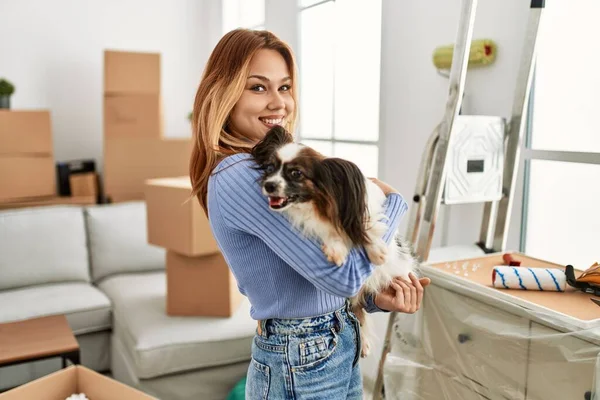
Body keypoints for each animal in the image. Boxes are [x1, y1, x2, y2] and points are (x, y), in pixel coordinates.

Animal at [248, 126, 418, 358]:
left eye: (296, 173)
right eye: (269, 168)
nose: (268, 185)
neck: (319, 204)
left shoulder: (366, 206)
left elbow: (366, 225)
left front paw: (376, 250)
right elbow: (330, 233)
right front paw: (336, 249)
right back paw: (364, 343)